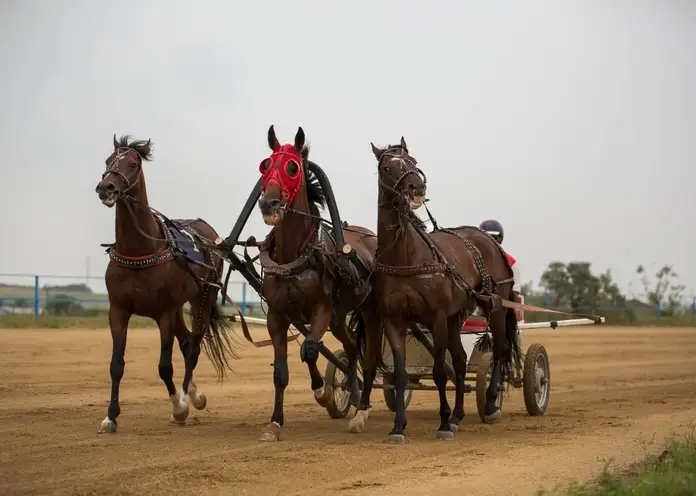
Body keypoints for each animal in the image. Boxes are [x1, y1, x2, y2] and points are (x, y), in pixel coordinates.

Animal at [94, 134, 239, 432]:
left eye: (133, 163)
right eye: (107, 160)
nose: (106, 188)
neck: (140, 249)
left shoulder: (163, 312)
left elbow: (164, 366)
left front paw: (179, 407)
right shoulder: (118, 310)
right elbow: (116, 364)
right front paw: (110, 416)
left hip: (201, 297)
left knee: (193, 345)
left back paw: (186, 397)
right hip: (177, 308)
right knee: (185, 342)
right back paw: (194, 394)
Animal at [250, 125, 380, 442]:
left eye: (293, 167)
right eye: (265, 165)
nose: (268, 202)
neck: (294, 256)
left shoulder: (321, 308)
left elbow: (309, 348)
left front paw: (322, 390)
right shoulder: (277, 315)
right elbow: (280, 372)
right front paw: (274, 423)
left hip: (368, 311)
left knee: (369, 354)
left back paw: (363, 404)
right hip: (338, 318)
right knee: (351, 347)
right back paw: (353, 391)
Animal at [350, 138, 520, 444]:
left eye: (413, 161)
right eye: (388, 167)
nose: (417, 187)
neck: (406, 256)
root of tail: (487, 240)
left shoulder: (436, 318)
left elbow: (441, 371)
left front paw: (442, 424)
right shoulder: (394, 321)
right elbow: (401, 373)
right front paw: (398, 427)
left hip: (495, 305)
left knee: (499, 351)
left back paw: (490, 401)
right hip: (457, 317)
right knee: (461, 361)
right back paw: (457, 415)